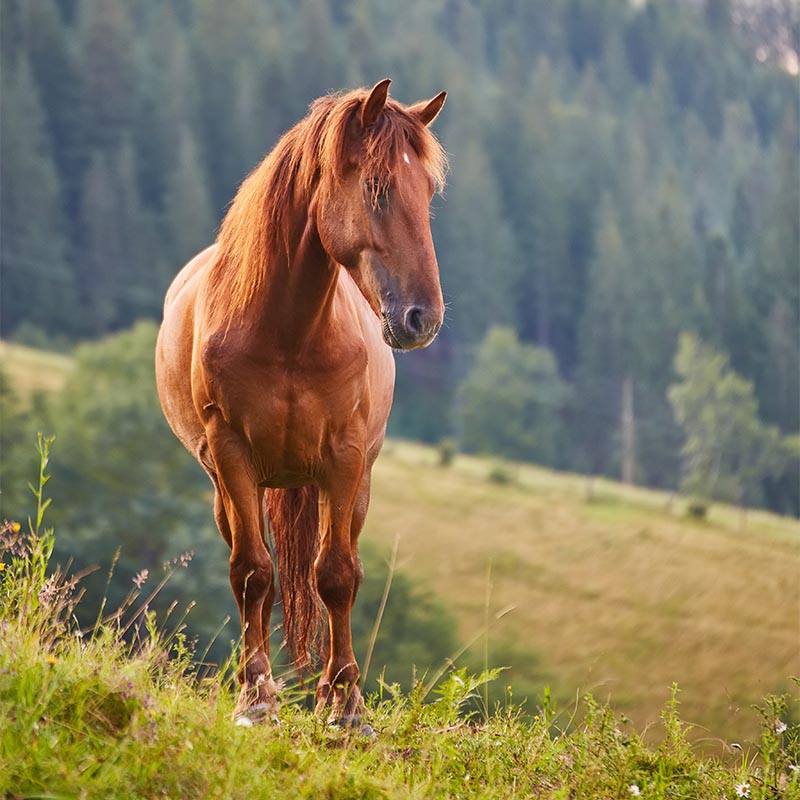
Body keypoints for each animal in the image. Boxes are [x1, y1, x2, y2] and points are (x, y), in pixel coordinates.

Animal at [155, 79, 447, 726]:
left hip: (354, 485)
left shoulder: (343, 457)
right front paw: (256, 697)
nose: (424, 318)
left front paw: (345, 706)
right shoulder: (232, 454)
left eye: (429, 193)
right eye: (379, 189)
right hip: (232, 487)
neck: (288, 332)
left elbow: (335, 576)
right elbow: (252, 573)